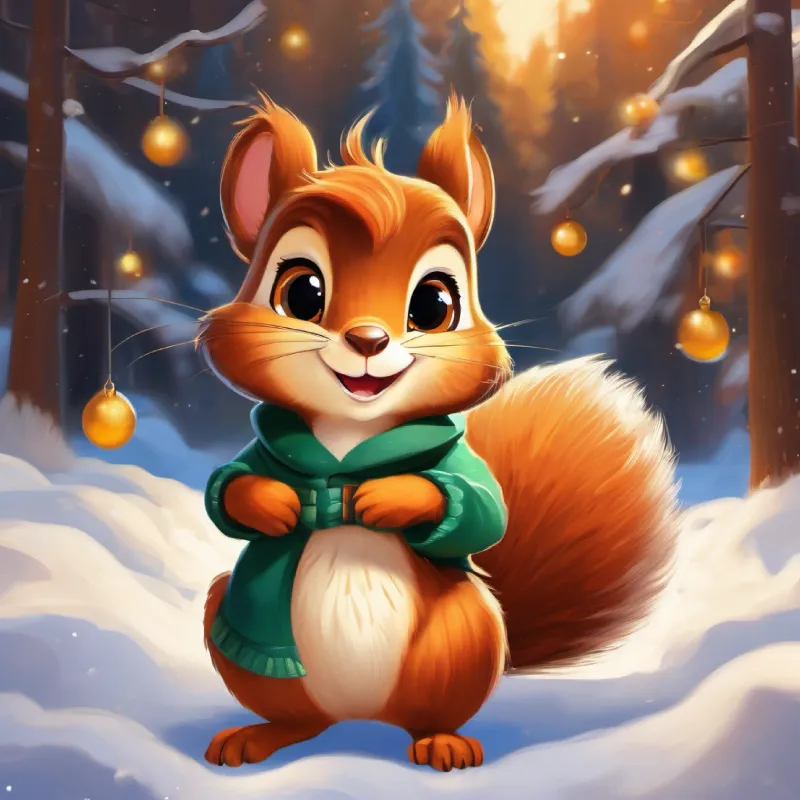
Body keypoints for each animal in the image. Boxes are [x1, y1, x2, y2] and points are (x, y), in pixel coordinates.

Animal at [198, 93, 679, 773]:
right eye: (301, 292)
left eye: (434, 304)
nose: (368, 340)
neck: (348, 441)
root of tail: (358, 718)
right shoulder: (260, 450)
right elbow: (227, 486)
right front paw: (273, 503)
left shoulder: (462, 468)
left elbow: (482, 510)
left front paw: (390, 498)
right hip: (244, 636)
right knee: (296, 717)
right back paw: (260, 735)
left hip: (460, 640)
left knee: (429, 713)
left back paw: (442, 742)